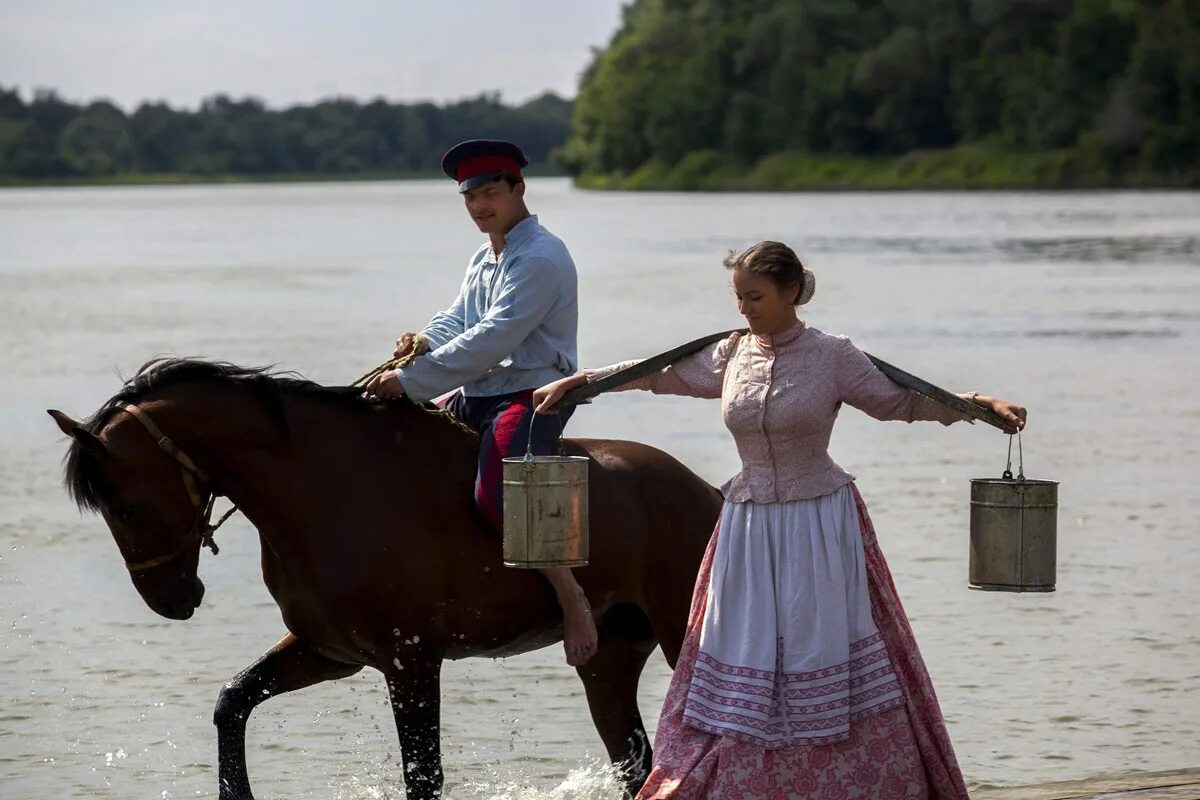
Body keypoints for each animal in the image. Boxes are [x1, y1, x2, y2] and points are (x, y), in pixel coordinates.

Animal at [46, 359, 720, 800]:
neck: (328, 489)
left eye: (128, 509)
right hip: (608, 659)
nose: (172, 600)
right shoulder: (331, 651)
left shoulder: (411, 659)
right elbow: (231, 703)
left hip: (678, 637)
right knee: (635, 763)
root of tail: (707, 493)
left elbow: (423, 777)